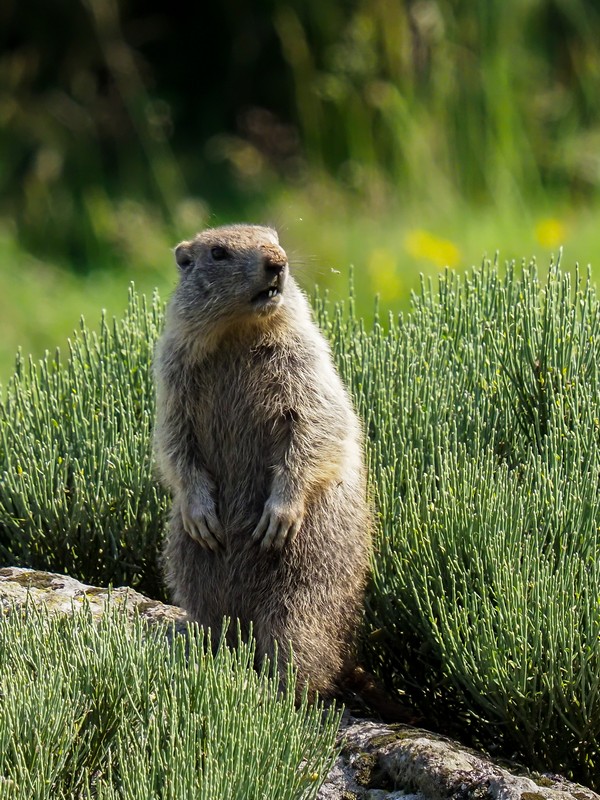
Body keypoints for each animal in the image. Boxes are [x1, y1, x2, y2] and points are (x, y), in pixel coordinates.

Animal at [154, 223, 371, 700]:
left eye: (274, 236)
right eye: (217, 253)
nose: (278, 261)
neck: (239, 332)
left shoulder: (306, 359)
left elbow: (315, 420)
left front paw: (279, 514)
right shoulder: (173, 372)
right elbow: (175, 438)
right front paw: (201, 514)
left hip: (306, 593)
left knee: (299, 646)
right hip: (197, 585)